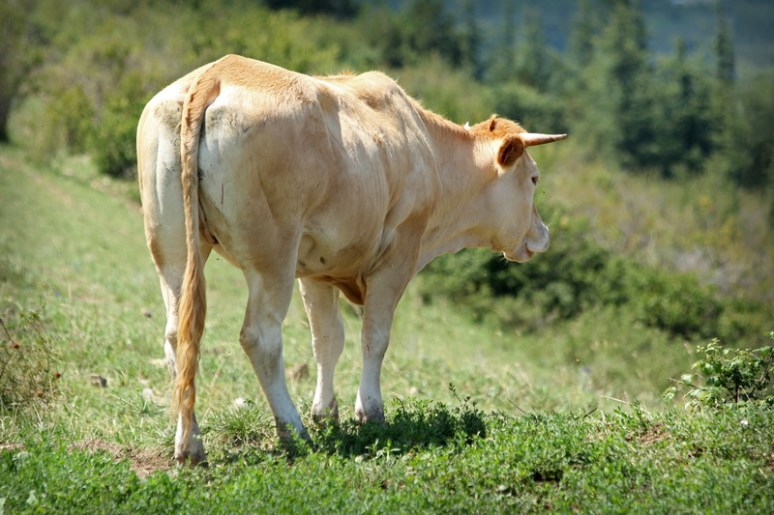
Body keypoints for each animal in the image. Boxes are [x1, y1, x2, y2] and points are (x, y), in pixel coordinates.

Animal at [137, 54, 566, 464]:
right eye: (534, 178)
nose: (544, 234)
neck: (429, 152)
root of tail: (217, 72)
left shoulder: (316, 268)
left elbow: (327, 338)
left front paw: (326, 412)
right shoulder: (397, 258)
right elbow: (374, 337)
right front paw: (369, 412)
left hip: (172, 247)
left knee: (178, 335)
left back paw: (190, 444)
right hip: (272, 254)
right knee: (260, 336)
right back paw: (292, 432)